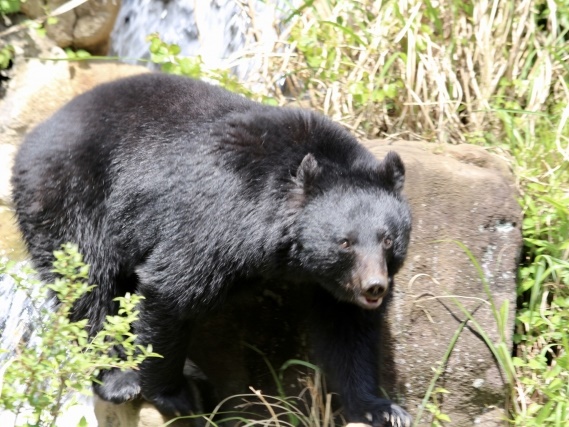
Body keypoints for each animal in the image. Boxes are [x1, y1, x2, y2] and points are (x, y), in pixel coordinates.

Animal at [12, 74, 412, 427]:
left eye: (388, 239)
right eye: (344, 242)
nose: (374, 287)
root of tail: (33, 139)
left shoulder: (334, 284)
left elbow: (348, 328)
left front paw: (382, 409)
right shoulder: (216, 217)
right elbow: (170, 288)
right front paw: (174, 395)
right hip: (69, 200)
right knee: (89, 286)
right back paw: (118, 380)